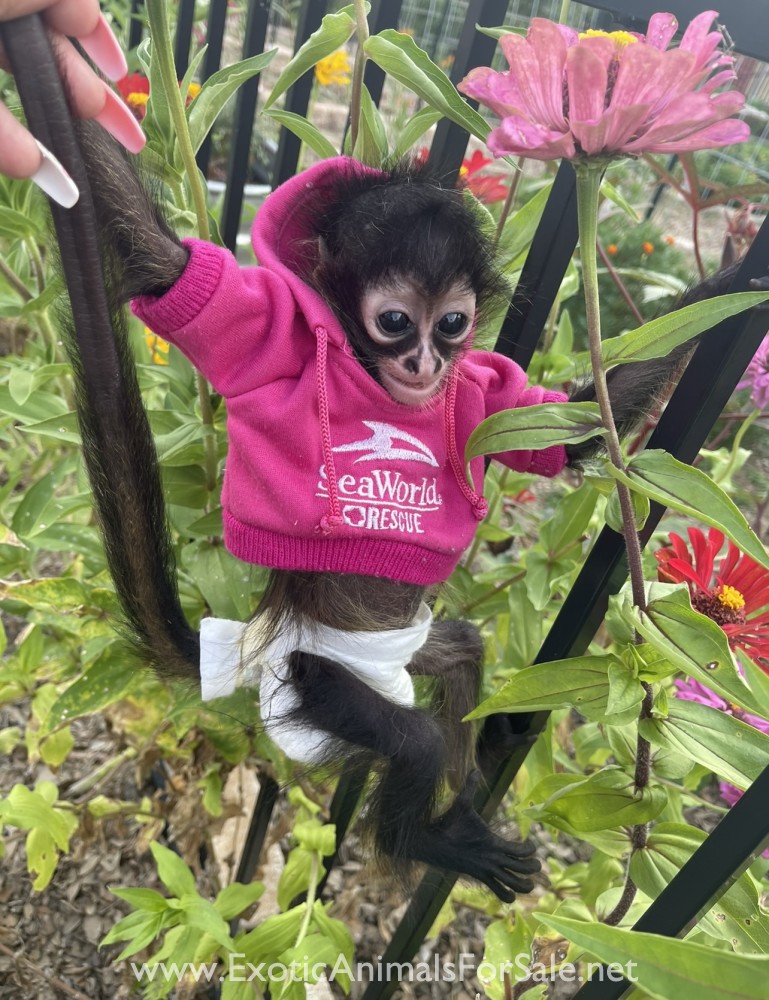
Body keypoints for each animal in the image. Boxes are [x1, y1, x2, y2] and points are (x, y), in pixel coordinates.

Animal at [5, 14, 768, 903]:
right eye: (395, 322)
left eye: (453, 324)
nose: (425, 364)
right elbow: (161, 262)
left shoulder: (480, 395)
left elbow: (569, 434)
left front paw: (739, 273)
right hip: (319, 678)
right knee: (412, 741)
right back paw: (422, 840)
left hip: (400, 650)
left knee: (463, 653)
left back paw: (464, 789)